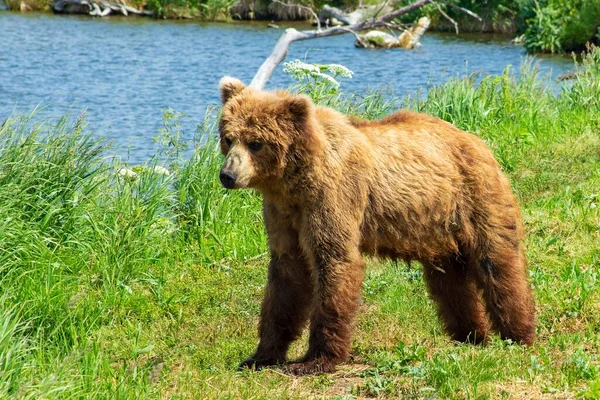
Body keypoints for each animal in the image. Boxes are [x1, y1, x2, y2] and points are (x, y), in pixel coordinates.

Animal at [218, 76, 536, 376]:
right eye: (228, 138)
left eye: (256, 142)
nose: (227, 175)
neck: (294, 181)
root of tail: (478, 141)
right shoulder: (283, 213)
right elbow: (286, 276)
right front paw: (261, 355)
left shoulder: (333, 197)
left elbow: (334, 262)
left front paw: (317, 359)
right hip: (440, 228)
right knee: (451, 282)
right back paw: (471, 335)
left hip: (474, 197)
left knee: (497, 262)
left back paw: (518, 333)